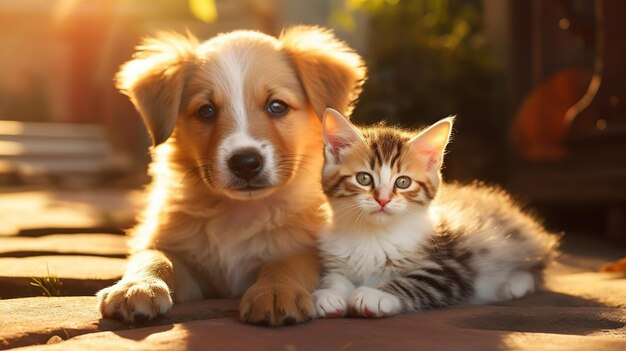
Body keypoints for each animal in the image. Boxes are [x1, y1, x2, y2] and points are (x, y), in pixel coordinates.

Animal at [95, 25, 364, 328]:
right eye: (206, 111)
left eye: (277, 106)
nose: (245, 163)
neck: (239, 212)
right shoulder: (182, 258)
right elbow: (154, 256)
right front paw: (137, 286)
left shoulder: (305, 245)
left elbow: (289, 261)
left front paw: (276, 290)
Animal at [310, 109, 556, 320]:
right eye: (363, 178)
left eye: (403, 182)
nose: (383, 199)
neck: (374, 236)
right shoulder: (334, 259)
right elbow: (333, 276)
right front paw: (328, 294)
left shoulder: (452, 268)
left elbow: (413, 282)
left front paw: (375, 295)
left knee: (538, 269)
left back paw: (513, 285)